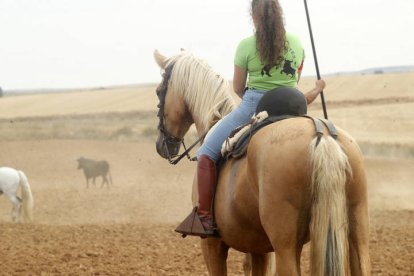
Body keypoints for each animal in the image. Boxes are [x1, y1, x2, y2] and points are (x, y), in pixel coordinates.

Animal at [153, 50, 372, 276]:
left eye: (159, 91)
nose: (162, 145)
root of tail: (321, 133)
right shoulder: (259, 250)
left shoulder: (212, 245)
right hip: (356, 233)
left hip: (285, 246)